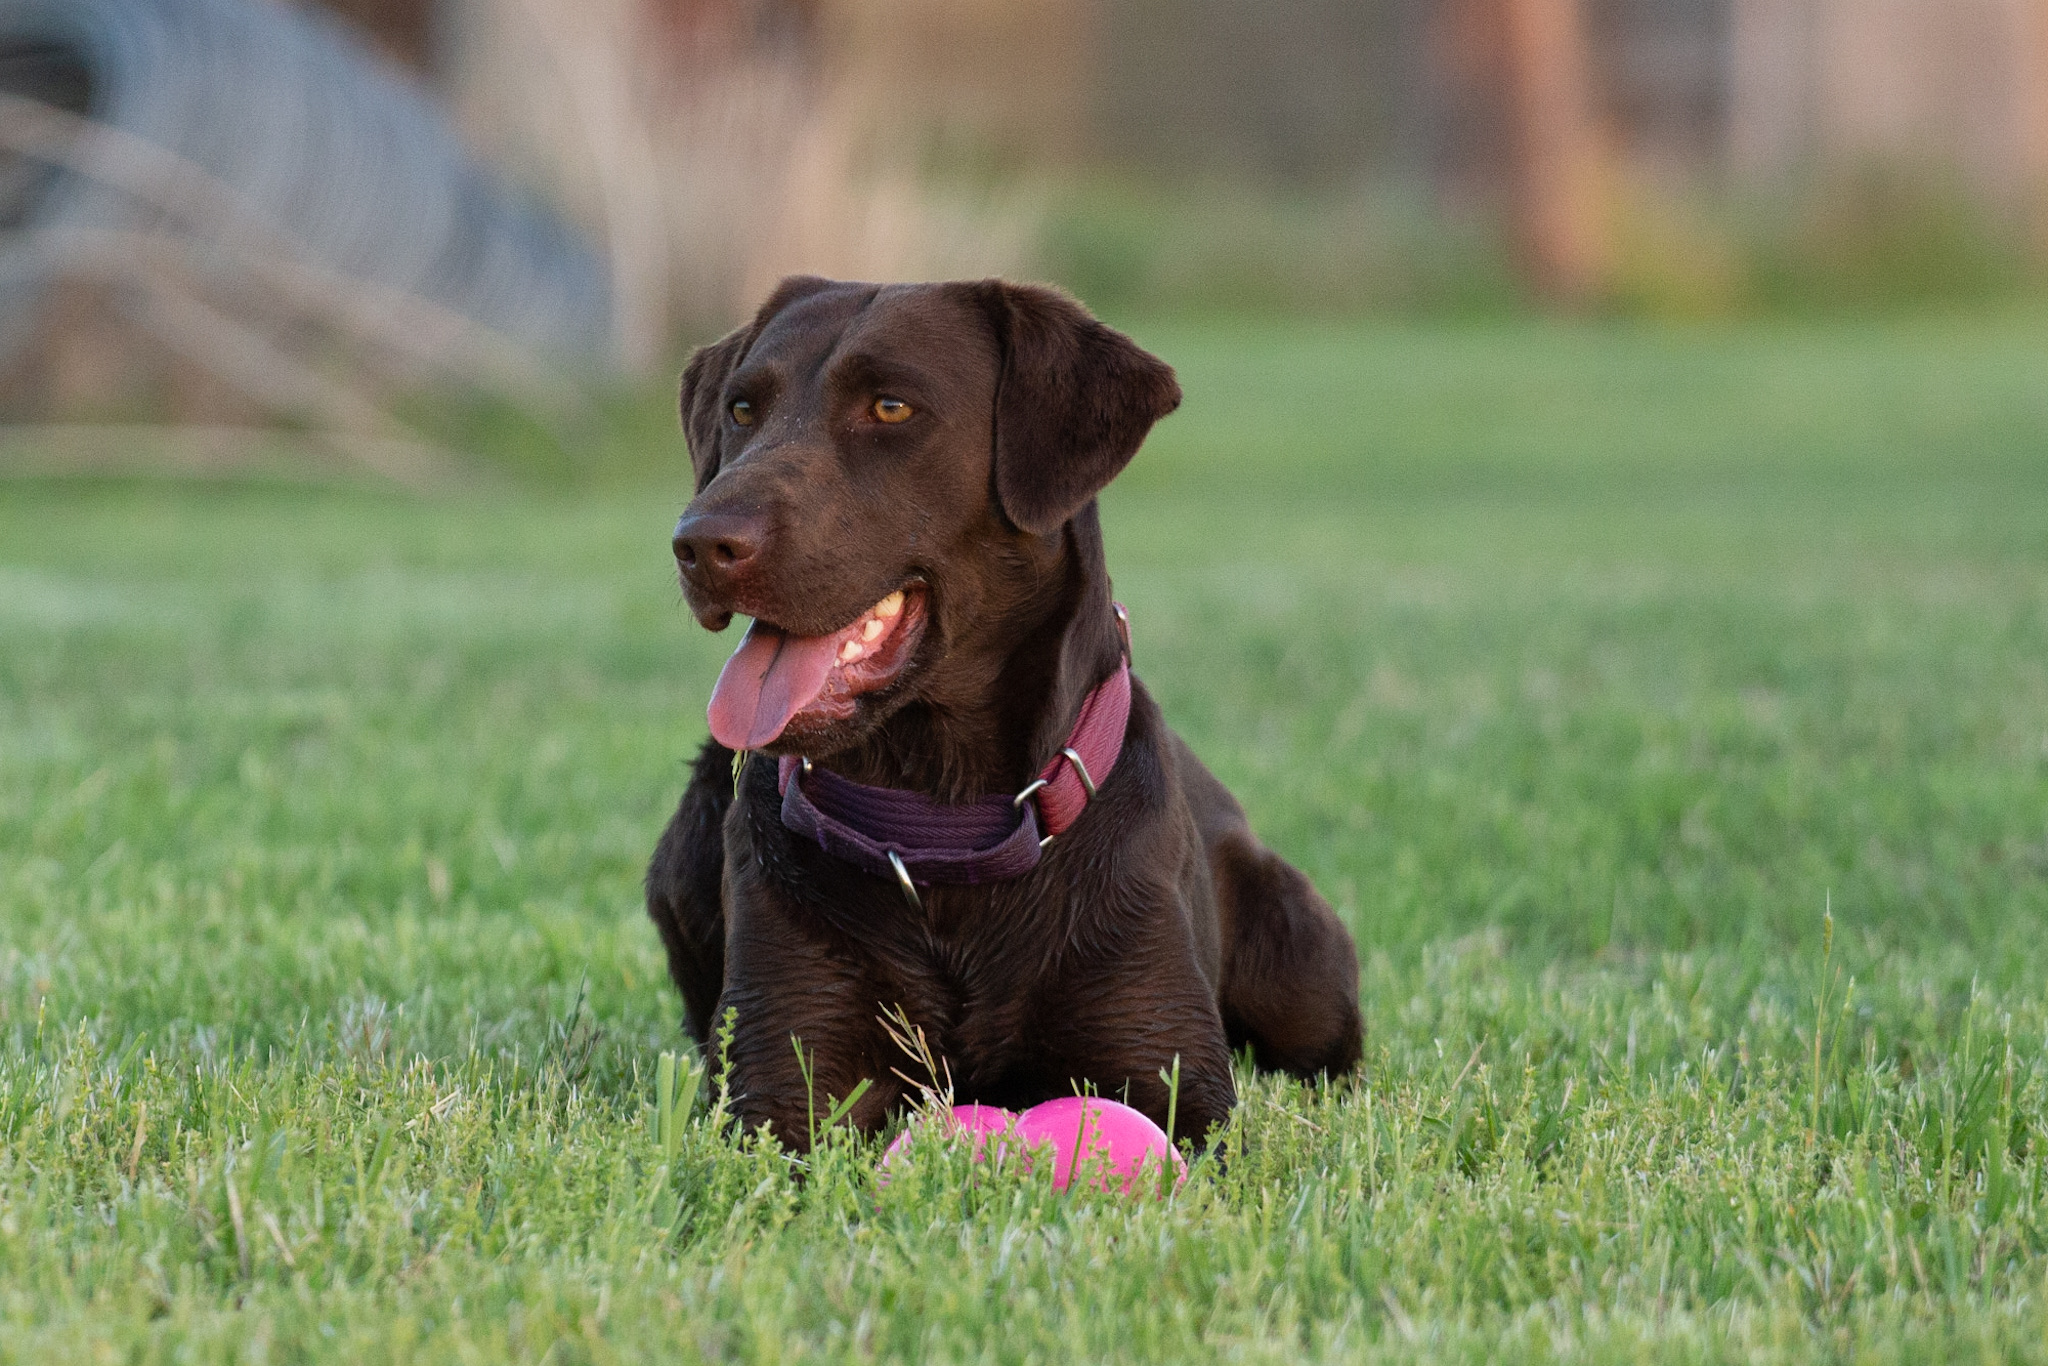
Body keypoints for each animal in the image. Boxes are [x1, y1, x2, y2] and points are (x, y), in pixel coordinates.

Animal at [647, 272, 1368, 1146]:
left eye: (891, 407)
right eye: (743, 409)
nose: (700, 542)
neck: (940, 821)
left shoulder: (1177, 1083)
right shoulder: (777, 1090)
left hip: (1302, 961)